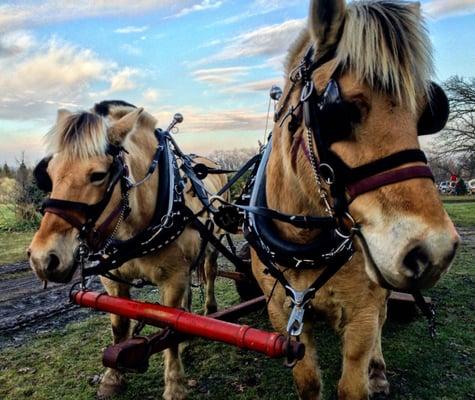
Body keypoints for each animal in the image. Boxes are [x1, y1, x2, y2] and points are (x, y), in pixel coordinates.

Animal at [28, 101, 228, 398]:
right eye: (49, 174)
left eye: (98, 175)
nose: (43, 259)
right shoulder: (113, 281)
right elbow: (119, 324)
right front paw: (113, 378)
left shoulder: (173, 278)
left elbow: (171, 325)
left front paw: (175, 386)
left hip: (212, 245)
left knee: (210, 273)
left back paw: (209, 310)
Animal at [253, 1, 462, 398]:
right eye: (339, 109)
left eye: (425, 111)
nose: (435, 251)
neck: (305, 242)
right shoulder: (283, 313)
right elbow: (308, 382)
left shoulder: (361, 313)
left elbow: (355, 379)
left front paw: (371, 373)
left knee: (382, 316)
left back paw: (377, 370)